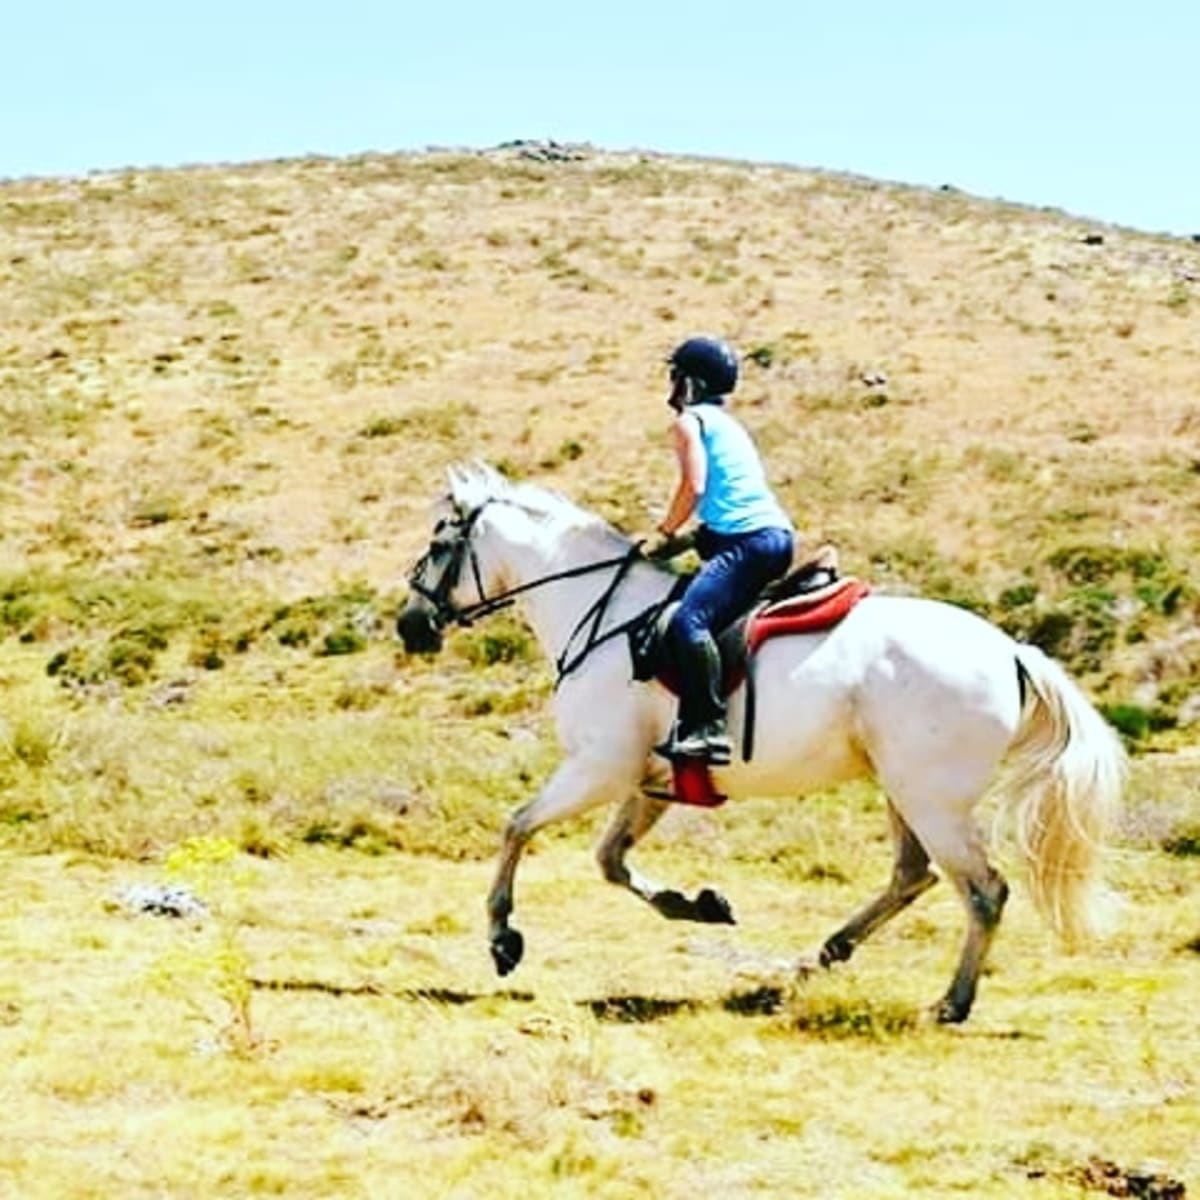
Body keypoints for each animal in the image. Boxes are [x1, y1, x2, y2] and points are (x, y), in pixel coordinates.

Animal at [397, 462, 1125, 1023]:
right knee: (913, 876)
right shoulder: (650, 782)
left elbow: (517, 826)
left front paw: (503, 938)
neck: (601, 613)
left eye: (438, 543)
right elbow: (610, 861)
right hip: (903, 787)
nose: (411, 625)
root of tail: (1011, 650)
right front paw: (697, 905)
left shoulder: (597, 768)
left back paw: (952, 1002)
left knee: (981, 891)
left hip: (930, 796)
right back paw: (829, 951)